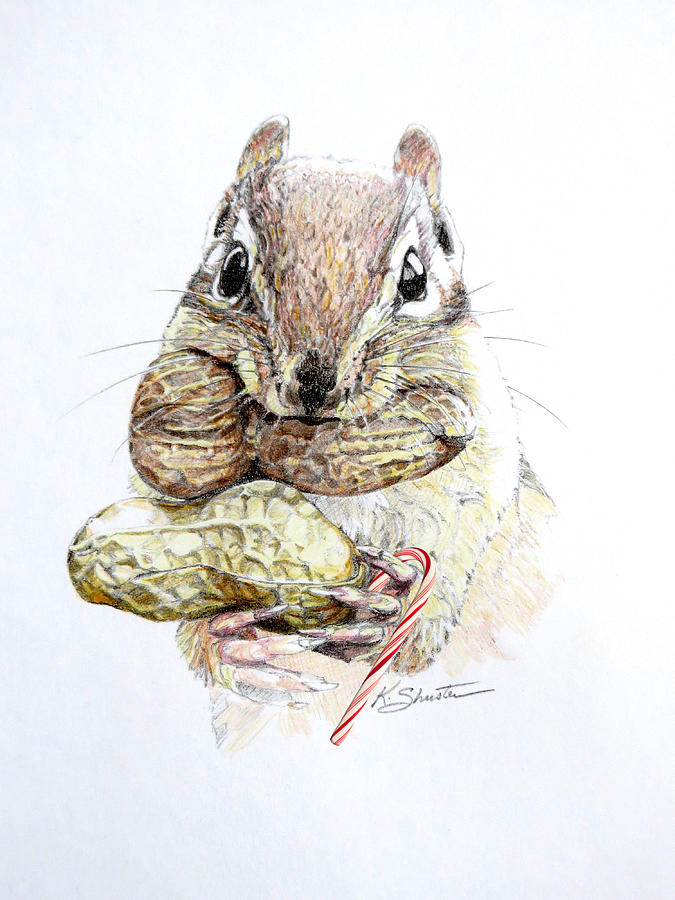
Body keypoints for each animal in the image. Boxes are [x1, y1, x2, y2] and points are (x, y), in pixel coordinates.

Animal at [127, 116, 557, 737]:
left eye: (415, 277)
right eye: (232, 269)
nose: (312, 384)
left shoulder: (483, 483)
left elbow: (451, 566)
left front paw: (401, 611)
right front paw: (237, 648)